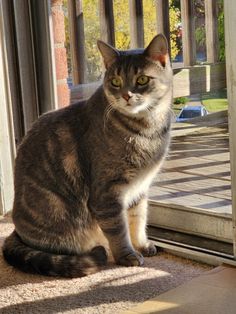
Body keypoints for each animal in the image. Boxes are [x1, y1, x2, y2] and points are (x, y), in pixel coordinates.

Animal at [1, 33, 172, 278]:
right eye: (115, 82)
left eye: (142, 80)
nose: (126, 95)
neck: (147, 131)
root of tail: (16, 231)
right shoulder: (107, 194)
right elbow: (119, 230)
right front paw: (127, 256)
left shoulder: (139, 189)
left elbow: (138, 219)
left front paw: (141, 245)